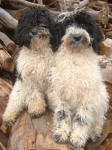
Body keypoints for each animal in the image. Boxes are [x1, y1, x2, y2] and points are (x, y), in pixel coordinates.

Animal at [46, 10, 109, 148]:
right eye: (67, 25)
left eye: (83, 24)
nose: (77, 36)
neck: (75, 56)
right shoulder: (60, 93)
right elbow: (62, 113)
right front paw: (61, 132)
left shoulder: (88, 97)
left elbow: (82, 118)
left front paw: (77, 138)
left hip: (102, 97)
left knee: (99, 118)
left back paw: (95, 132)